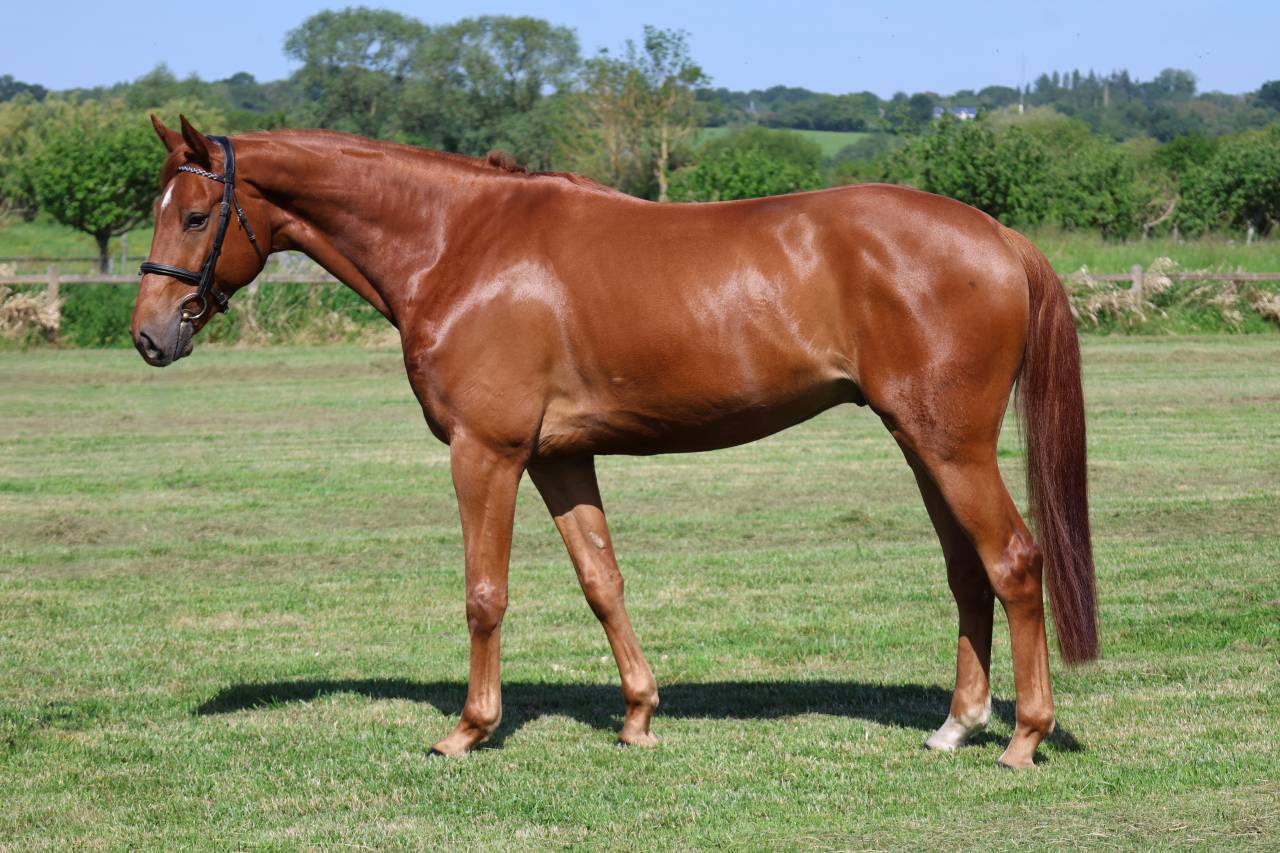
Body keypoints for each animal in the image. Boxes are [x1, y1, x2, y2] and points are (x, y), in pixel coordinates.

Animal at [132, 116, 1096, 768]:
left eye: (195, 217)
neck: (458, 244)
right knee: (968, 572)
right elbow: (602, 580)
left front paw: (468, 728)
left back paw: (1023, 737)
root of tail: (998, 236)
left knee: (1014, 562)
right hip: (921, 441)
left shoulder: (486, 451)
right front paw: (638, 715)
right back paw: (956, 724)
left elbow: (485, 593)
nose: (149, 335)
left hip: (951, 445)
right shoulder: (559, 456)